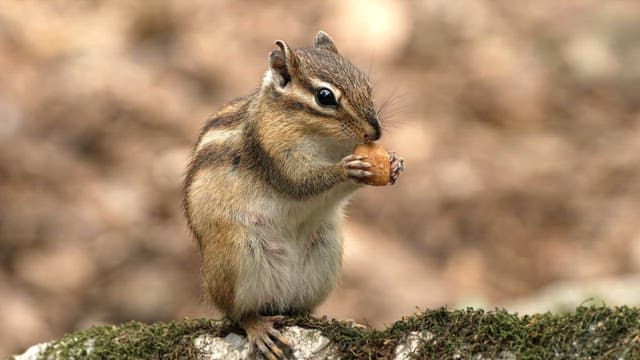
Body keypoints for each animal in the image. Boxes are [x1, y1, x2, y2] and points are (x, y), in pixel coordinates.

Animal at [182, 32, 402, 358]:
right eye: (325, 97)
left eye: (367, 84)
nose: (375, 134)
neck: (323, 141)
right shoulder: (272, 152)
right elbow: (300, 182)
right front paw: (346, 169)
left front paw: (395, 164)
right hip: (235, 256)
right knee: (238, 314)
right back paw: (259, 329)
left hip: (325, 256)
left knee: (300, 310)